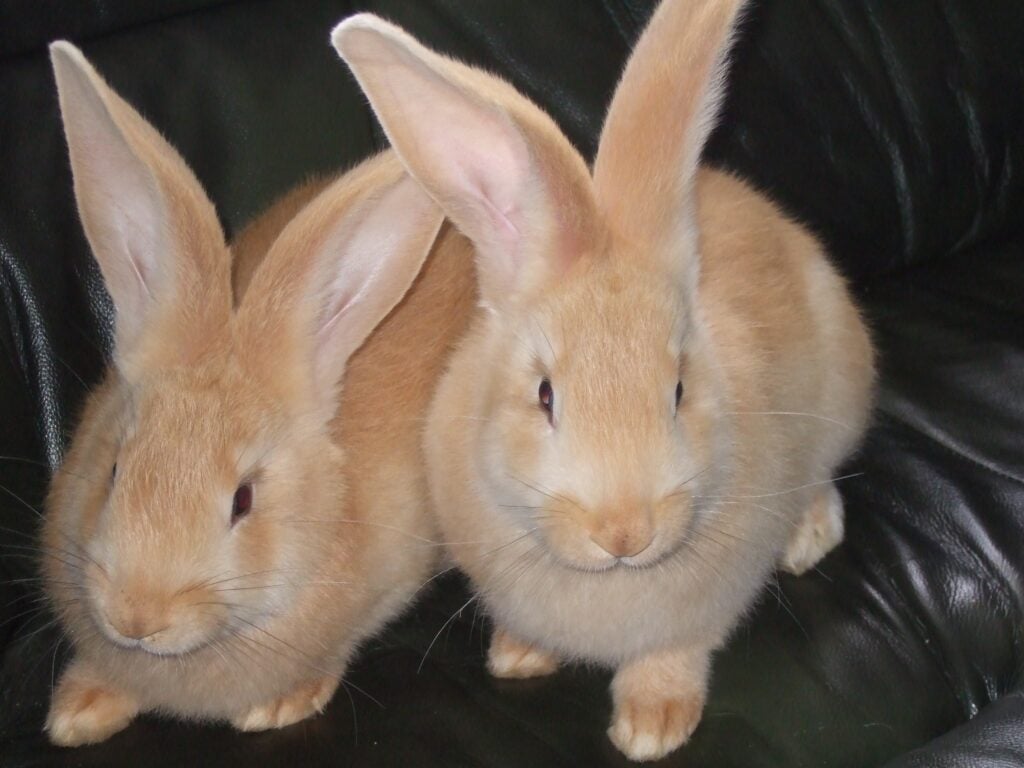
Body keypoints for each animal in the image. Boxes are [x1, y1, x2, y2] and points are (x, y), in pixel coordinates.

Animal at [333, 0, 875, 761]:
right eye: (544, 395)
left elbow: (674, 653)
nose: (625, 534)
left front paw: (650, 728)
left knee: (827, 473)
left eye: (679, 391)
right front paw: (517, 656)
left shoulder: (700, 614)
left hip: (842, 392)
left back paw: (807, 537)